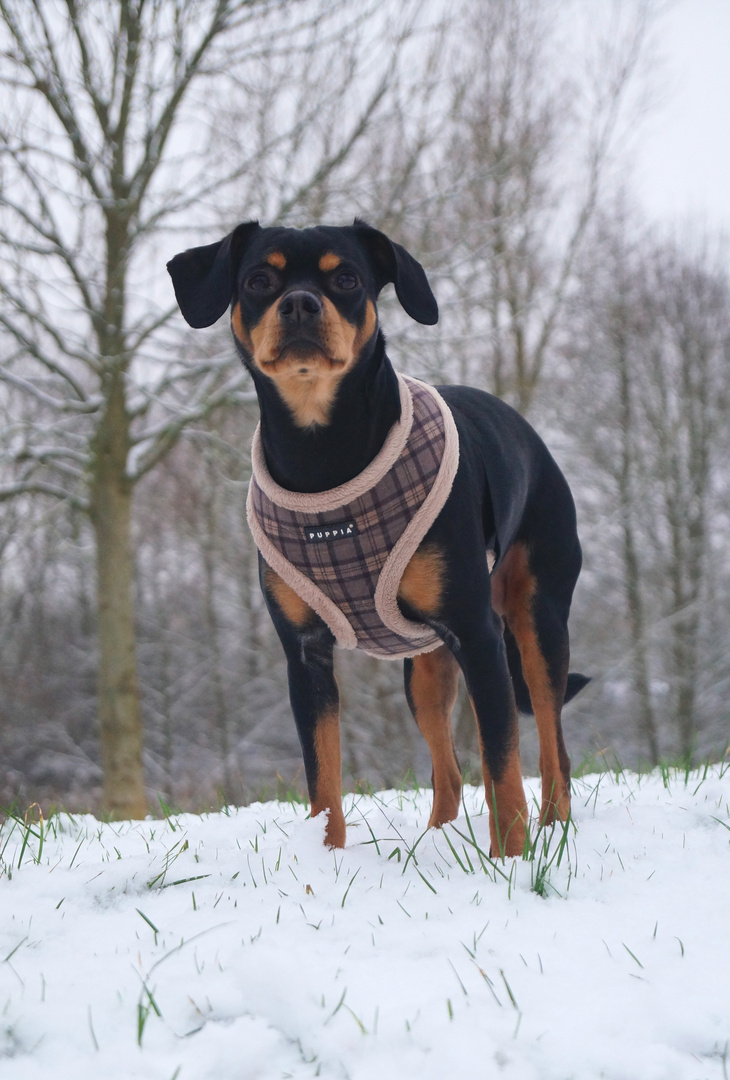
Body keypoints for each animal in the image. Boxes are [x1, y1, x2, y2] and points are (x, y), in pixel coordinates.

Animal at [166, 221, 587, 859]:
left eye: (346, 278)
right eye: (259, 280)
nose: (300, 303)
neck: (323, 456)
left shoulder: (478, 633)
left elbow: (503, 766)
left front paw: (511, 862)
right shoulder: (305, 654)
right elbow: (323, 777)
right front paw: (325, 859)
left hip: (536, 620)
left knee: (551, 744)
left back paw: (551, 830)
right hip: (425, 668)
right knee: (448, 769)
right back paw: (438, 840)